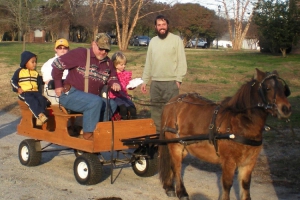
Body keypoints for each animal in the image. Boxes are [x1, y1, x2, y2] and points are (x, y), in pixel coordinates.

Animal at [158, 69, 292, 200]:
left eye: (283, 88)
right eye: (268, 88)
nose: (286, 109)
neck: (241, 123)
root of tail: (171, 102)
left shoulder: (249, 162)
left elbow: (246, 184)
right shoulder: (229, 161)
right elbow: (227, 185)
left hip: (184, 147)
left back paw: (169, 187)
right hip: (175, 145)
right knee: (176, 167)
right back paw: (181, 192)